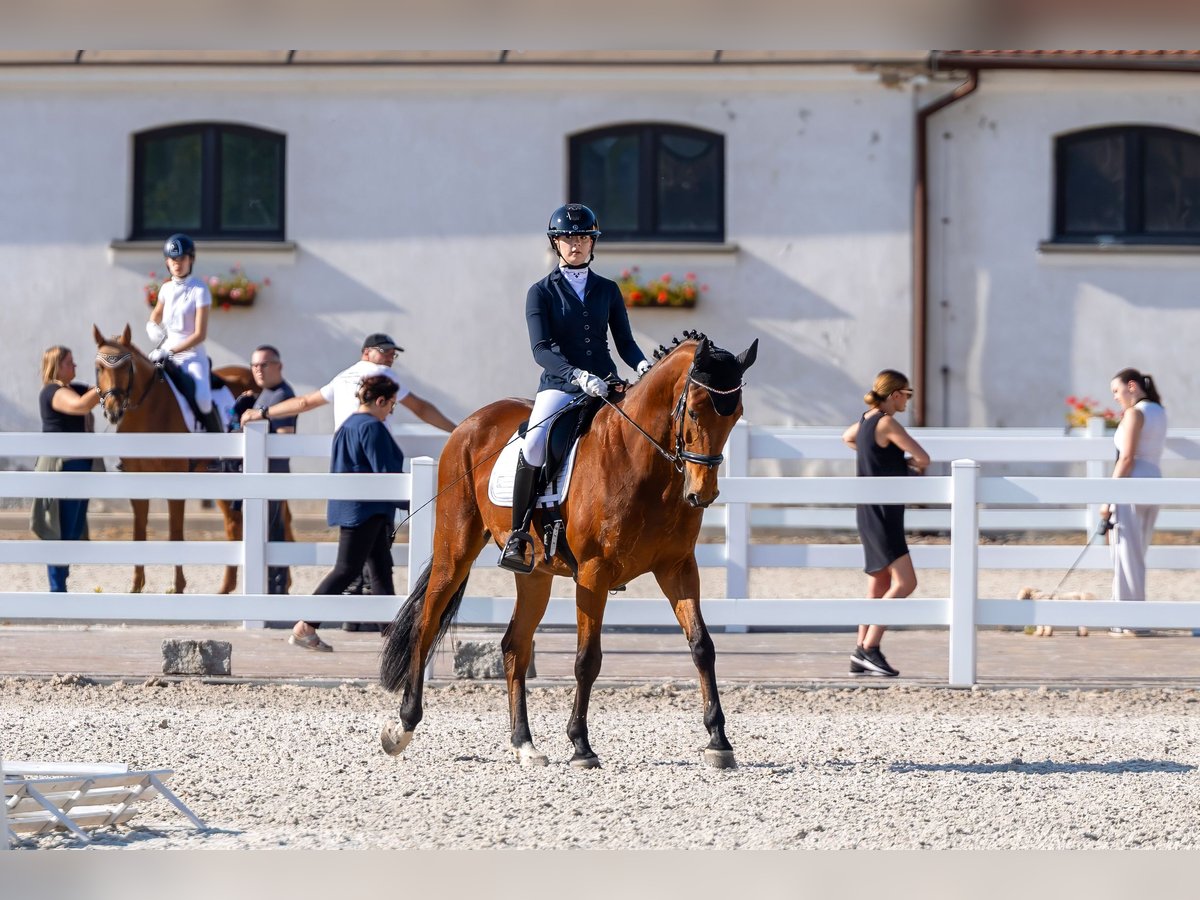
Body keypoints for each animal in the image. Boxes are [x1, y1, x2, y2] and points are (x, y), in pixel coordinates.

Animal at [92, 323, 264, 595]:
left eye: (127, 367)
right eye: (98, 368)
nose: (113, 410)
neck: (148, 411)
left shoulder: (176, 483)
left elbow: (175, 534)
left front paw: (178, 586)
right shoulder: (136, 483)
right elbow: (138, 533)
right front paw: (136, 586)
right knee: (233, 523)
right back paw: (226, 587)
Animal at [380, 331, 758, 769]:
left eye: (735, 415)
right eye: (695, 412)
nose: (703, 494)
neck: (641, 460)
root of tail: (469, 424)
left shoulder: (677, 567)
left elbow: (702, 647)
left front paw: (719, 741)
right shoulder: (594, 573)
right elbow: (587, 659)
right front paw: (580, 745)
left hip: (535, 575)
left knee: (514, 646)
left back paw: (524, 744)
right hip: (454, 551)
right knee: (425, 626)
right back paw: (402, 727)